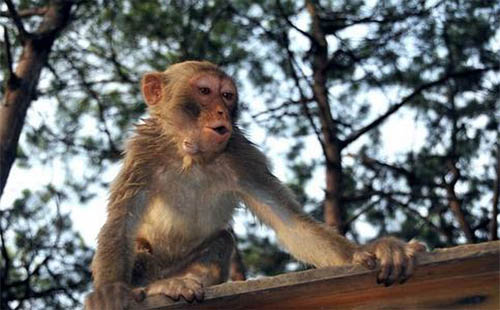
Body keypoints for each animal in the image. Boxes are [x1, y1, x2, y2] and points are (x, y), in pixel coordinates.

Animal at [83, 60, 426, 310]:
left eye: (227, 95)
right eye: (204, 91)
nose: (221, 111)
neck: (193, 157)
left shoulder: (241, 157)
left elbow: (291, 223)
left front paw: (370, 250)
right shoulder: (145, 152)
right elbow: (122, 223)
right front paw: (110, 291)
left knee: (222, 239)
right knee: (141, 249)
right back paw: (161, 286)